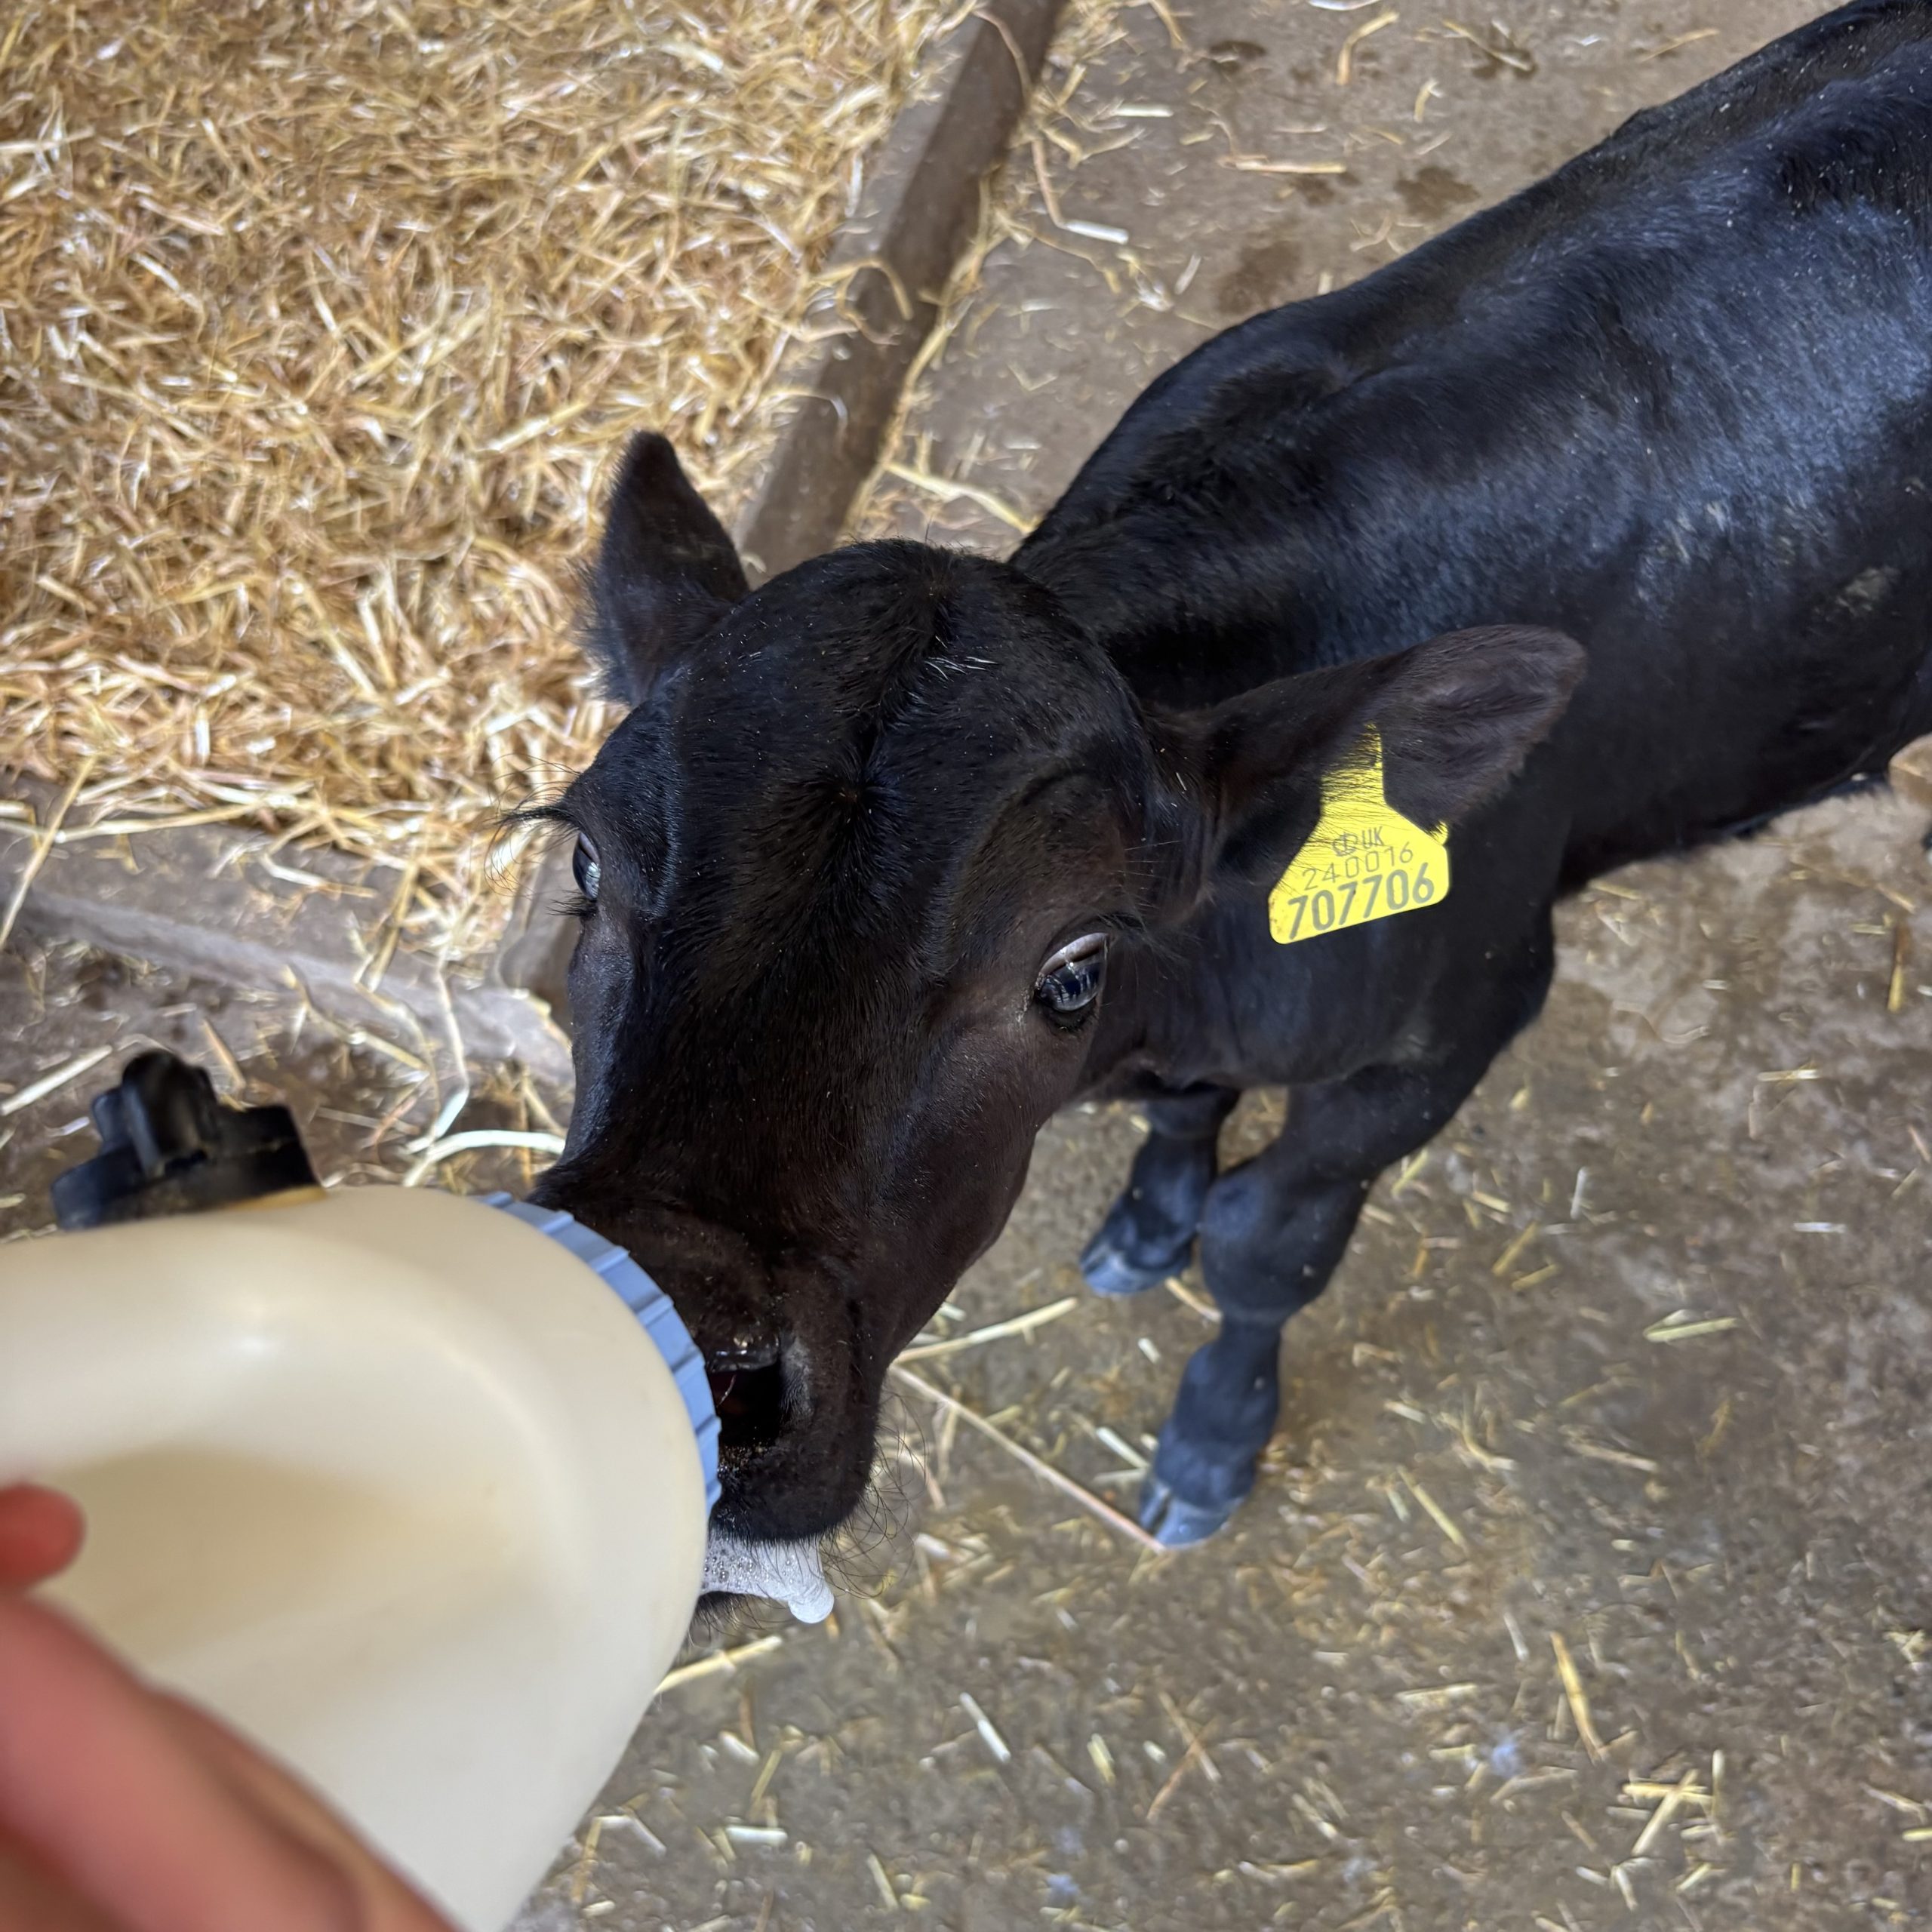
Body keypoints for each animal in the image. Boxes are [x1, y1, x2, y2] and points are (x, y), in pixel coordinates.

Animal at [530, 0, 1932, 1559]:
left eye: (1069, 968)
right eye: (586, 862)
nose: (674, 1364)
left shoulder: (1463, 1012)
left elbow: (1268, 1240)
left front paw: (1212, 1437)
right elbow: (1187, 1128)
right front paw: (1151, 1214)